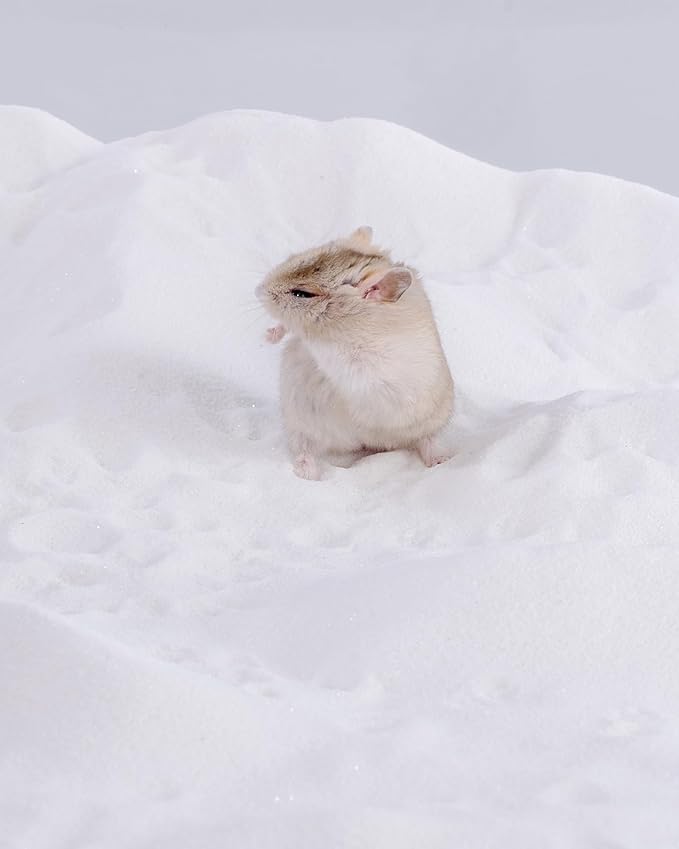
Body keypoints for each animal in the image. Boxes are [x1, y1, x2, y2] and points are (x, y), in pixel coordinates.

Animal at [257, 226, 454, 480]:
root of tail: (368, 444)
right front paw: (269, 336)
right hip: (299, 422)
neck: (350, 324)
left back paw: (441, 461)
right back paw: (307, 473)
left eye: (302, 294)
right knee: (305, 448)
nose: (258, 291)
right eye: (294, 258)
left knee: (427, 440)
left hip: (431, 420)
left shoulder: (359, 364)